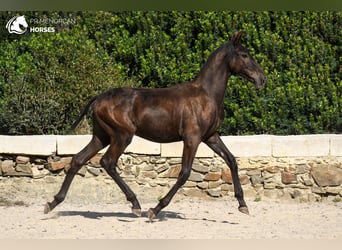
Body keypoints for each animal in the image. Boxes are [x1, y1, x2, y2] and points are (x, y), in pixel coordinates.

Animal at [44, 31, 266, 221]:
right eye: (244, 55)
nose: (262, 79)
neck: (206, 95)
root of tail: (99, 97)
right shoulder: (192, 138)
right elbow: (184, 173)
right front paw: (155, 209)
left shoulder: (211, 136)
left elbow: (232, 160)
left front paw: (243, 205)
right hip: (122, 135)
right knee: (108, 162)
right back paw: (135, 205)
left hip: (101, 136)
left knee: (78, 159)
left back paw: (52, 203)